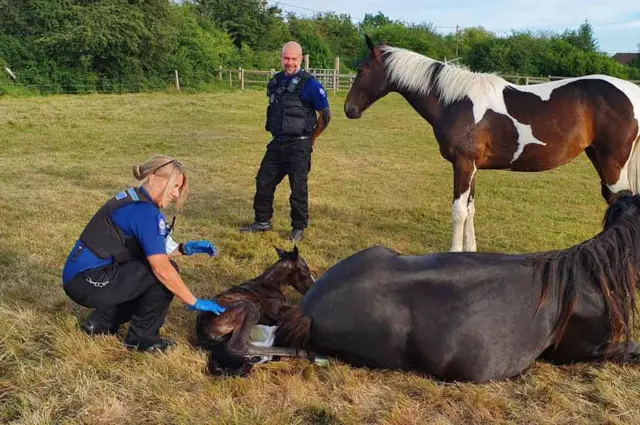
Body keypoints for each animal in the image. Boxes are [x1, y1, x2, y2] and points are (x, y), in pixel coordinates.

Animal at [195, 247, 316, 376]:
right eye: (305, 270)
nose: (312, 287)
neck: (270, 283)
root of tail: (201, 331)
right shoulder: (275, 310)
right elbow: (298, 311)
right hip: (251, 309)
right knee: (238, 347)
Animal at [344, 35, 640, 252]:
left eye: (361, 69)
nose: (349, 110)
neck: (455, 100)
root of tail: (631, 91)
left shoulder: (463, 164)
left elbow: (459, 211)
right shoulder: (472, 166)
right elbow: (471, 209)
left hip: (614, 165)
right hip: (598, 158)